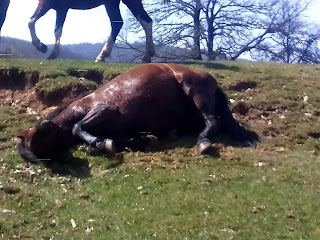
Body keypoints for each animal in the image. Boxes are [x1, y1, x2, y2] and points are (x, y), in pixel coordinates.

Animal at [17, 62, 258, 162]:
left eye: (40, 138)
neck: (79, 107)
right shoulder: (120, 130)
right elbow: (125, 139)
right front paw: (137, 141)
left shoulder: (104, 109)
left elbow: (78, 127)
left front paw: (100, 143)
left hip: (194, 90)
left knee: (214, 120)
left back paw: (203, 141)